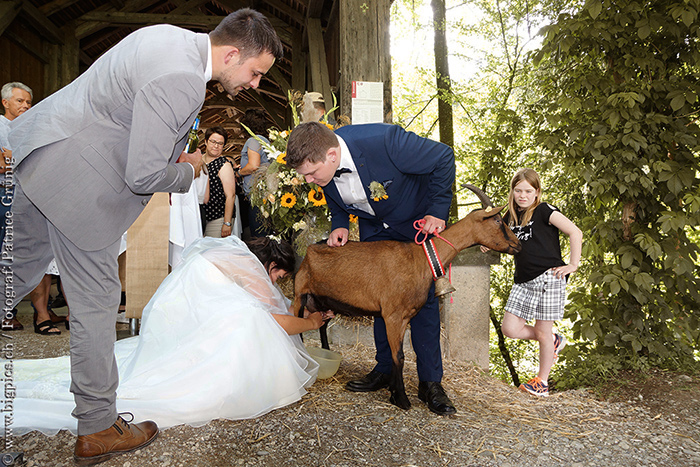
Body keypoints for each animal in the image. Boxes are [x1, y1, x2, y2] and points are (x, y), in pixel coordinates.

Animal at [294, 185, 520, 412]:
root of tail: (310, 249)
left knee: (322, 325)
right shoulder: (392, 316)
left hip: (323, 301)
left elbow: (401, 355)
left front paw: (396, 391)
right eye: (498, 220)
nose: (517, 244)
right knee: (296, 327)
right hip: (299, 294)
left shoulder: (404, 318)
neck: (420, 259)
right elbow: (399, 357)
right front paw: (401, 398)